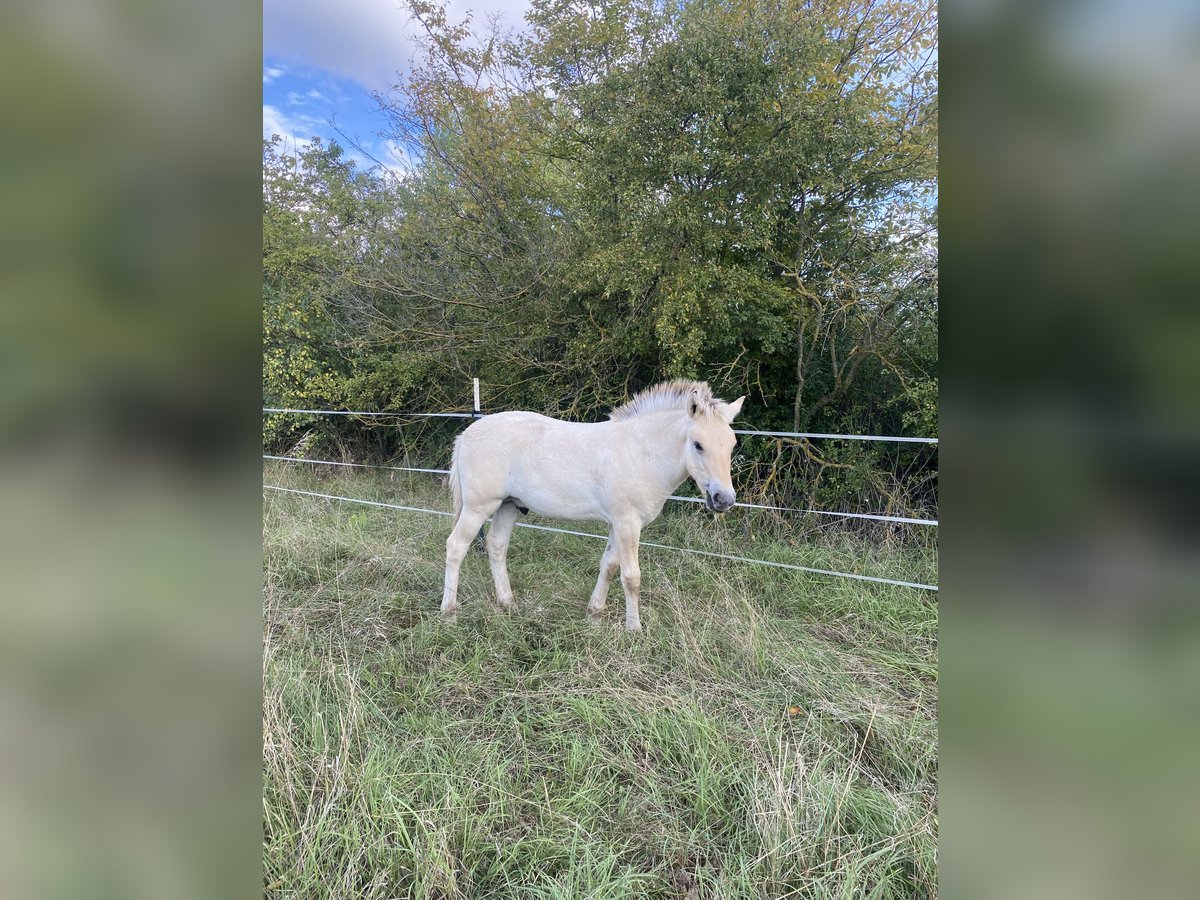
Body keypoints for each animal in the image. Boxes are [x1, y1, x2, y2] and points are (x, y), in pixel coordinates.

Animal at [436, 384, 744, 628]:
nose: (724, 499)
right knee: (456, 547)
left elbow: (608, 566)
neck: (642, 453)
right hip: (478, 508)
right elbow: (631, 576)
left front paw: (594, 614)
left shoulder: (618, 525)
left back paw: (507, 603)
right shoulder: (628, 524)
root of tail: (467, 434)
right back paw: (449, 613)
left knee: (497, 546)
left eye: (731, 444)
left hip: (508, 506)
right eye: (698, 444)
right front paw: (634, 629)